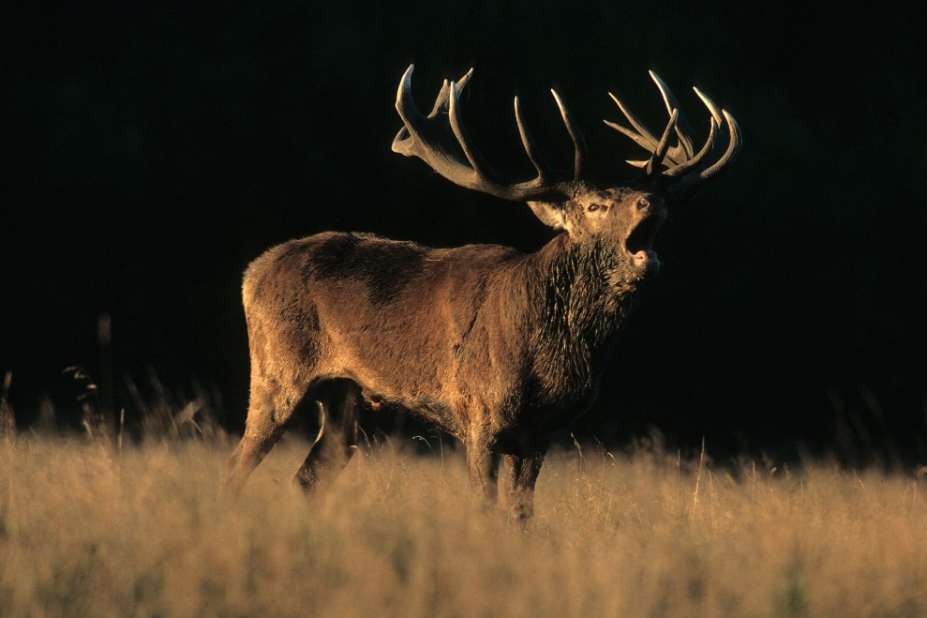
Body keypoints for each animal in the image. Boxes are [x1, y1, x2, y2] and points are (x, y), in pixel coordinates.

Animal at [228, 65, 744, 516]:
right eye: (596, 205)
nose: (652, 201)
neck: (550, 356)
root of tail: (251, 273)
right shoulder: (479, 411)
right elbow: (486, 507)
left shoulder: (540, 434)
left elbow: (521, 514)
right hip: (276, 370)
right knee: (237, 464)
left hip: (344, 392)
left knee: (308, 475)